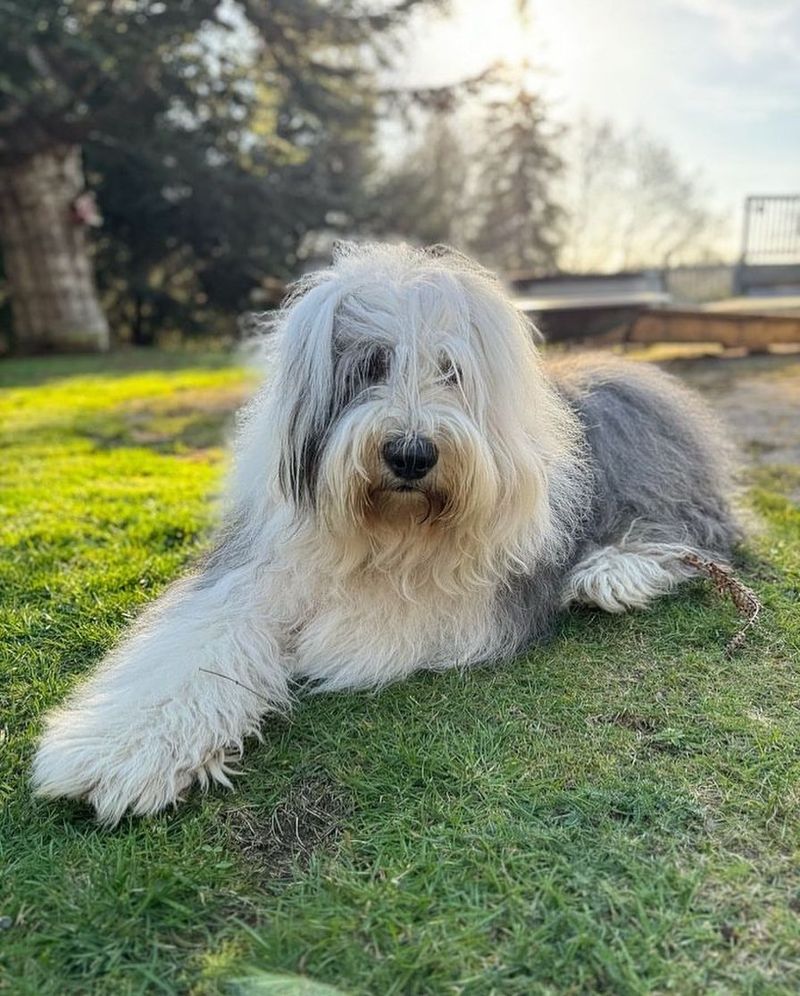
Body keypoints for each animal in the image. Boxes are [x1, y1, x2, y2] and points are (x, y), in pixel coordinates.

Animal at [36, 245, 736, 820]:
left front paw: (309, 647)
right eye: (371, 365)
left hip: (660, 488)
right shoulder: (258, 571)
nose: (410, 454)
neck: (392, 529)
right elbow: (200, 643)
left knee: (695, 538)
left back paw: (608, 573)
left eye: (451, 371)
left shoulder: (460, 602)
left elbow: (345, 633)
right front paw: (120, 753)